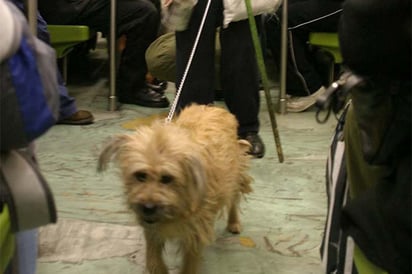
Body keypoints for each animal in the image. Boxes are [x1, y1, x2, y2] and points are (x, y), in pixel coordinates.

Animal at [98, 104, 253, 274]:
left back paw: (234, 222)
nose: (148, 208)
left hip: (234, 175)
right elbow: (154, 260)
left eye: (167, 178)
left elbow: (189, 265)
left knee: (233, 200)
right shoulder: (153, 230)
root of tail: (213, 107)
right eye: (140, 175)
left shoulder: (195, 232)